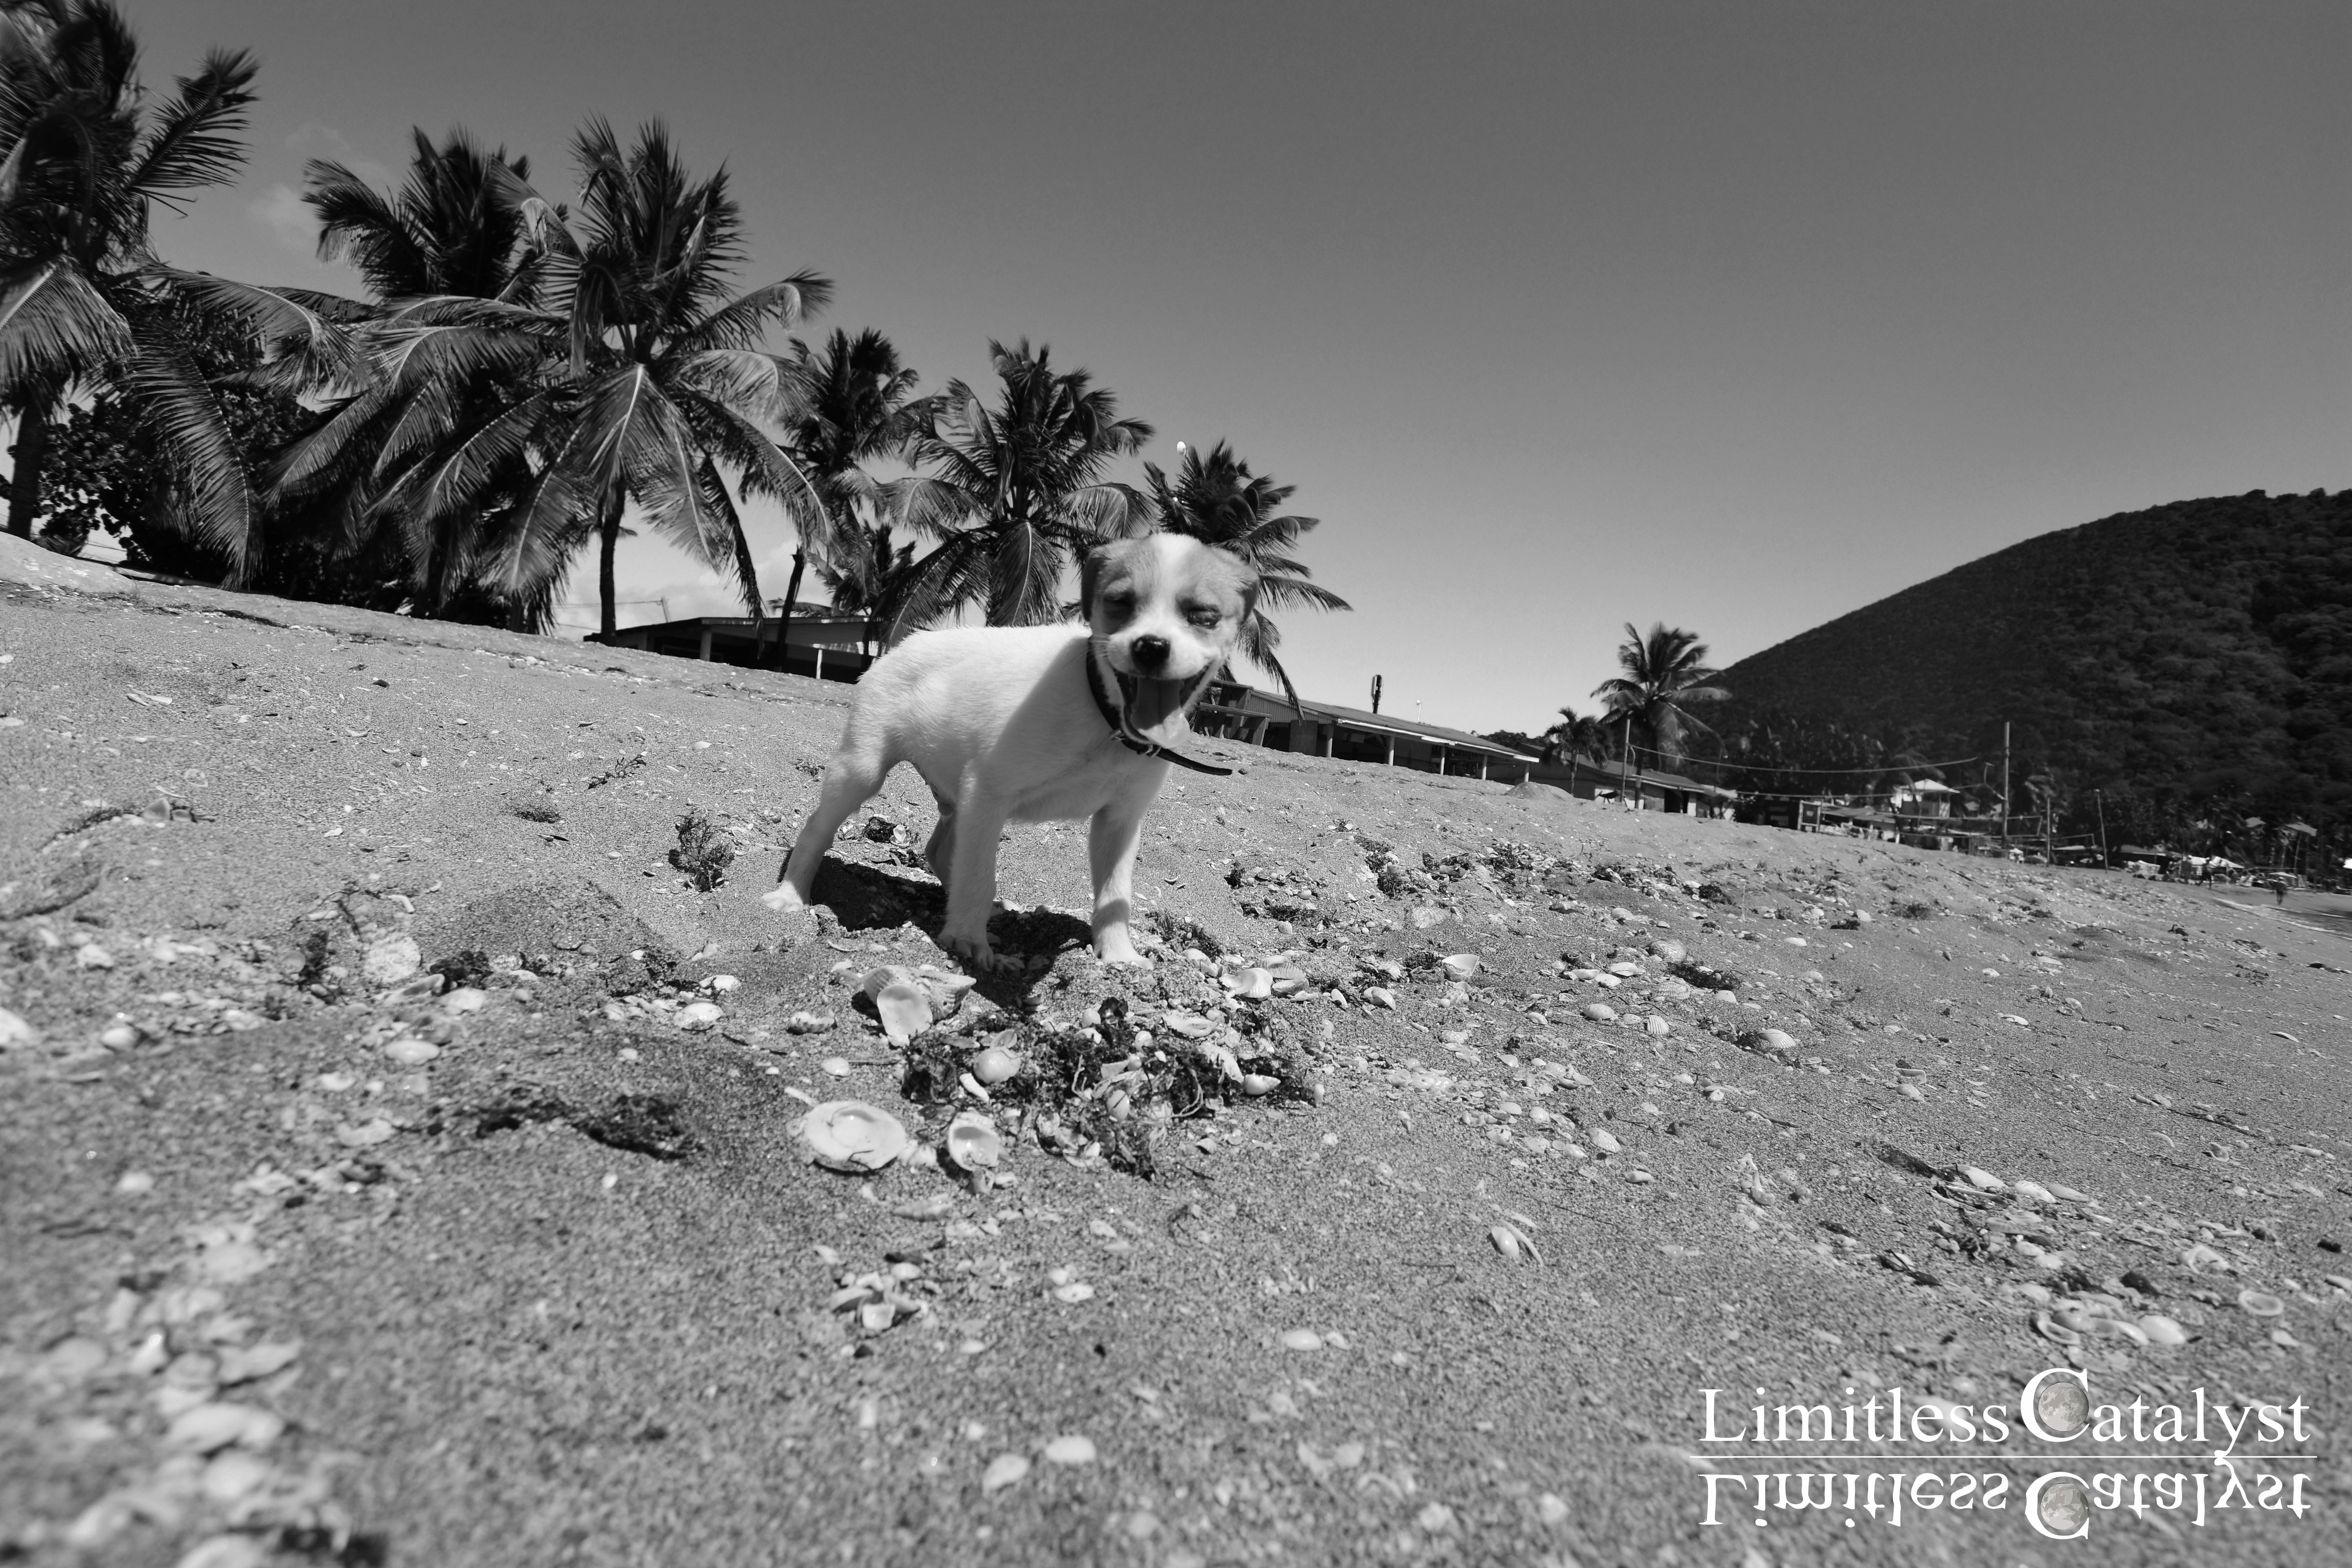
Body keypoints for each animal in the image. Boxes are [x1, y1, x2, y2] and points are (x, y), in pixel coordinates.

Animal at [762, 534, 1259, 972]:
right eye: (1120, 602)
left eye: (1203, 615)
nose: (1151, 647)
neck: (1104, 715)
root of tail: (905, 643)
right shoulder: (988, 792)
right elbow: (980, 875)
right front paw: (968, 940)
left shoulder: (1120, 821)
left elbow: (1115, 895)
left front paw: (1118, 954)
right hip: (864, 768)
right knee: (819, 830)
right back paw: (792, 893)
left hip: (955, 797)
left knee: (940, 851)